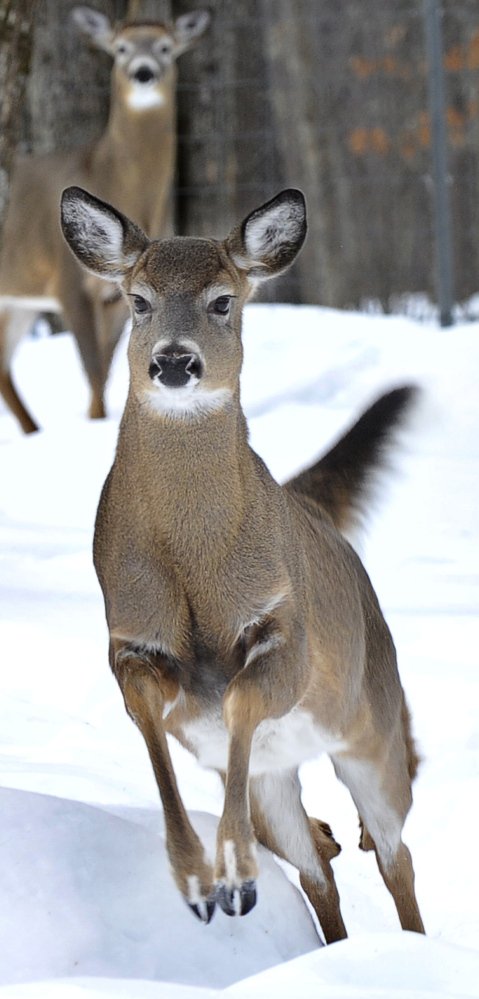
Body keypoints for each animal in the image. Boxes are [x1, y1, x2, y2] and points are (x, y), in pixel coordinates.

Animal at [0, 3, 210, 434]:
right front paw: (95, 427)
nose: (143, 72)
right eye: (121, 48)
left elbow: (107, 371)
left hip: (18, 298)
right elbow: (93, 368)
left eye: (165, 47)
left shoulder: (119, 294)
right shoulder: (66, 279)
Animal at [61, 184, 428, 940]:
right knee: (318, 871)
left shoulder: (284, 633)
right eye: (138, 299)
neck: (196, 558)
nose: (174, 362)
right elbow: (156, 728)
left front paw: (228, 870)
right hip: (278, 779)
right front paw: (202, 881)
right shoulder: (130, 645)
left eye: (223, 299)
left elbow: (238, 697)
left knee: (396, 854)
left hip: (372, 731)